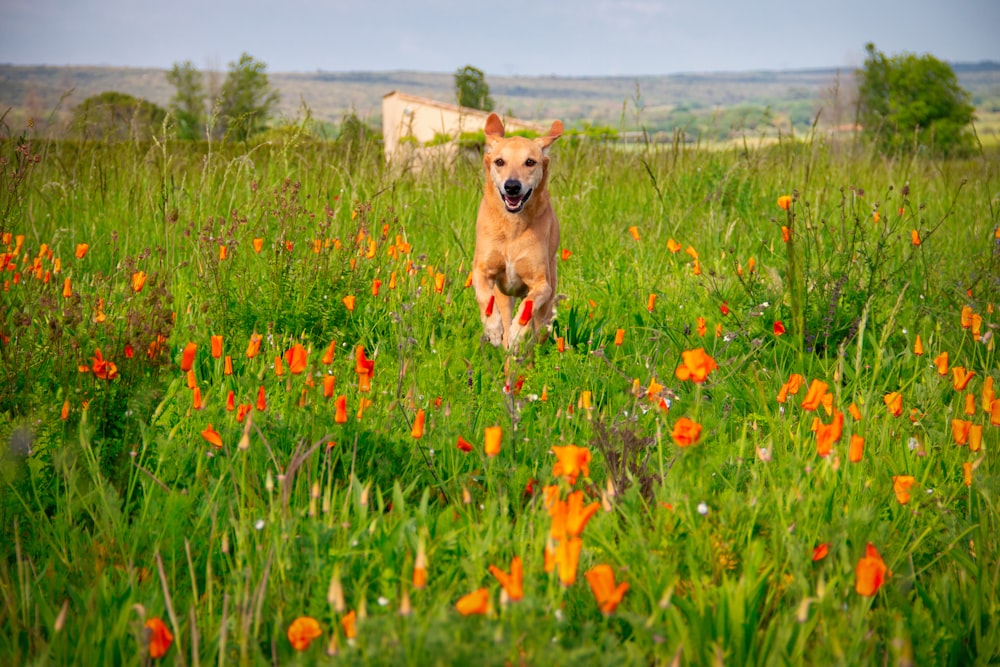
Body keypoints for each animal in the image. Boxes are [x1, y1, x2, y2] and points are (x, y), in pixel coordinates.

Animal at [470, 111, 564, 350]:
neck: (513, 226)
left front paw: (517, 333)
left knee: (539, 328)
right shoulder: (481, 270)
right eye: (499, 161)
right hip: (504, 296)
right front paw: (494, 330)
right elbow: (484, 297)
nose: (512, 186)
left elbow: (529, 304)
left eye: (530, 162)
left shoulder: (541, 284)